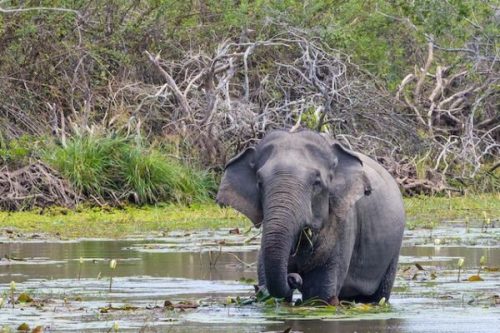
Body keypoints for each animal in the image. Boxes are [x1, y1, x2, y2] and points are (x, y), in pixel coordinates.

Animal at [217, 130, 404, 304]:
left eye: (316, 183)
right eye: (259, 182)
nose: (293, 277)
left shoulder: (344, 222)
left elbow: (319, 295)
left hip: (393, 251)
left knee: (377, 296)